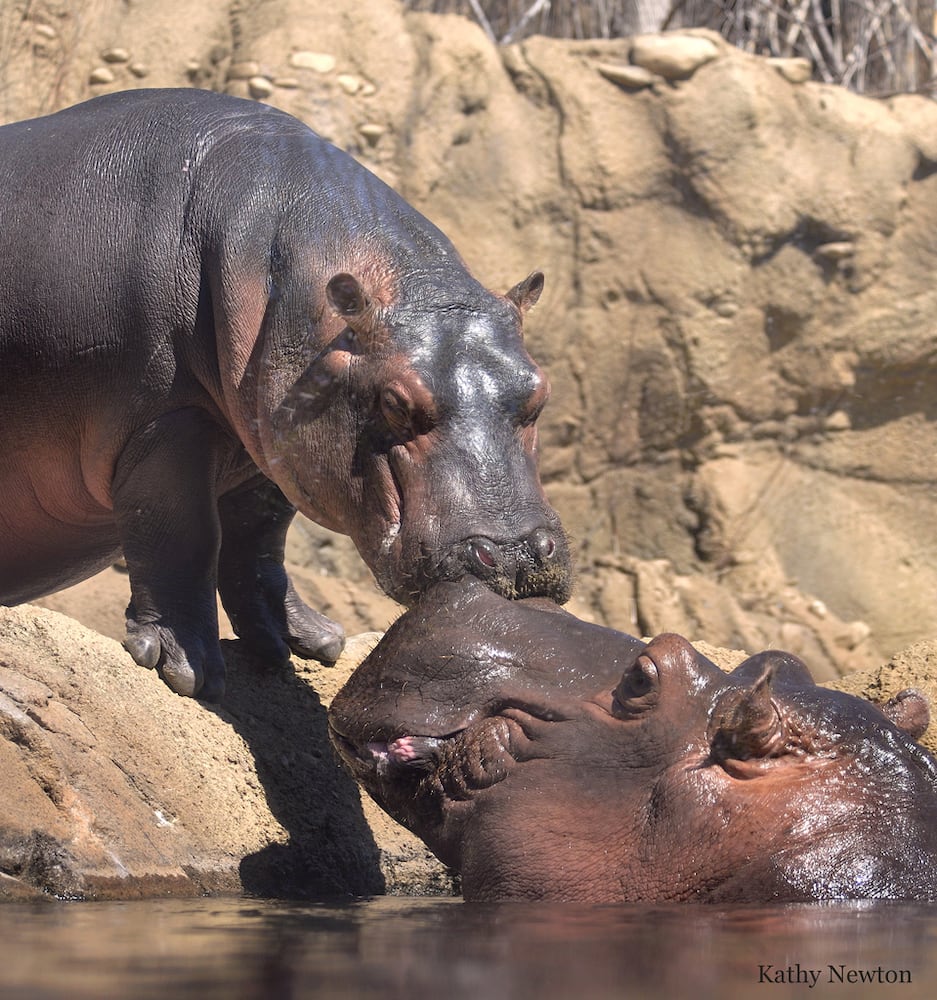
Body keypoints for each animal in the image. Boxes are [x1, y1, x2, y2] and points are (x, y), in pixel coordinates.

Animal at [0, 88, 572, 704]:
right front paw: (188, 671)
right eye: (395, 402)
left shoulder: (271, 443)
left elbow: (258, 542)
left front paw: (307, 644)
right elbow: (182, 533)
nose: (515, 555)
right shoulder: (168, 418)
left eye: (540, 389)